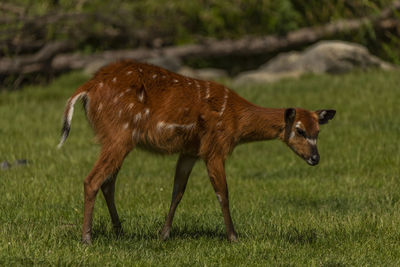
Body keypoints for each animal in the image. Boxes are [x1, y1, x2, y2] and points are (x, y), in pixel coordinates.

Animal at [57, 59, 336, 244]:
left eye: (318, 132)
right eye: (300, 130)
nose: (315, 158)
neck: (236, 119)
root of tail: (87, 88)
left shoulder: (190, 151)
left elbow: (177, 192)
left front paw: (164, 234)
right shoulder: (214, 147)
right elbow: (223, 193)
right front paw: (234, 237)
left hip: (119, 138)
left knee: (108, 182)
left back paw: (119, 232)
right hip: (119, 133)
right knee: (92, 179)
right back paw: (87, 238)